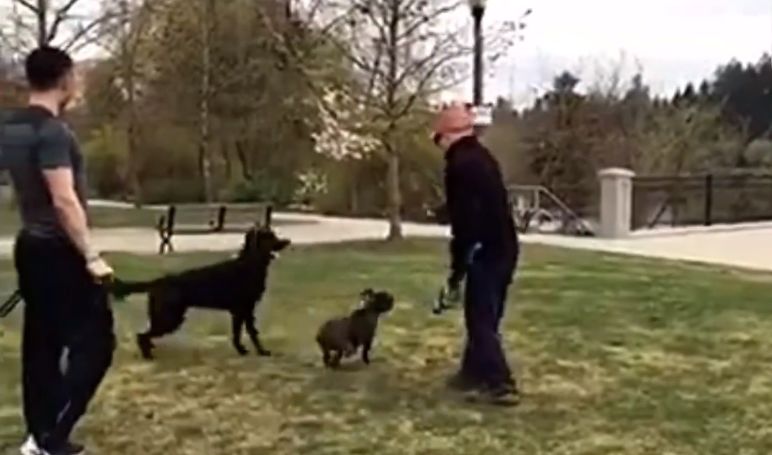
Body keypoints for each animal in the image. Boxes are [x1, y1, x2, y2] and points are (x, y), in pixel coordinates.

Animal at [112, 224, 290, 359]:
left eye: (274, 234)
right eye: (268, 236)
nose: (287, 241)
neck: (250, 264)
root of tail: (157, 281)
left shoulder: (239, 312)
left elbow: (237, 334)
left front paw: (242, 350)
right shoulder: (245, 309)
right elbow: (252, 333)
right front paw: (262, 352)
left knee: (145, 335)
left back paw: (150, 349)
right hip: (169, 318)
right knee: (142, 335)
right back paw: (148, 356)